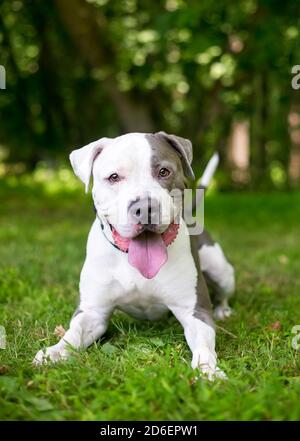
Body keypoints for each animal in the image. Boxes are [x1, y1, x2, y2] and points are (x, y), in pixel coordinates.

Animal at [32, 131, 234, 378]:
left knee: (222, 291)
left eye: (164, 172)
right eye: (114, 177)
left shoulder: (194, 311)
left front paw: (208, 370)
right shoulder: (93, 312)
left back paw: (222, 310)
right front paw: (54, 352)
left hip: (221, 271)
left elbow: (204, 344)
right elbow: (74, 333)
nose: (145, 207)